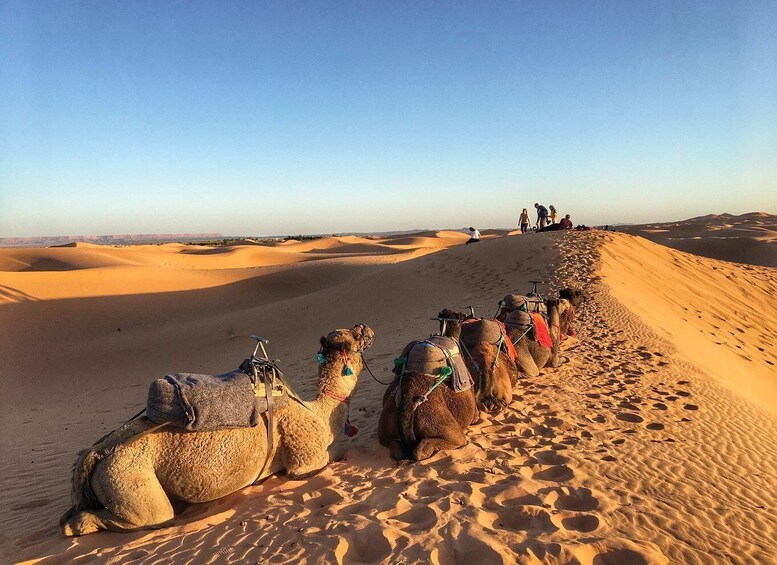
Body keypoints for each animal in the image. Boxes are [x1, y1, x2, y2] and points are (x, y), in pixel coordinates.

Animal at [59, 324, 372, 536]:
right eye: (355, 336)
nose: (366, 327)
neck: (317, 410)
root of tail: (97, 452)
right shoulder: (305, 456)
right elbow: (331, 456)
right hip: (128, 478)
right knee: (143, 516)